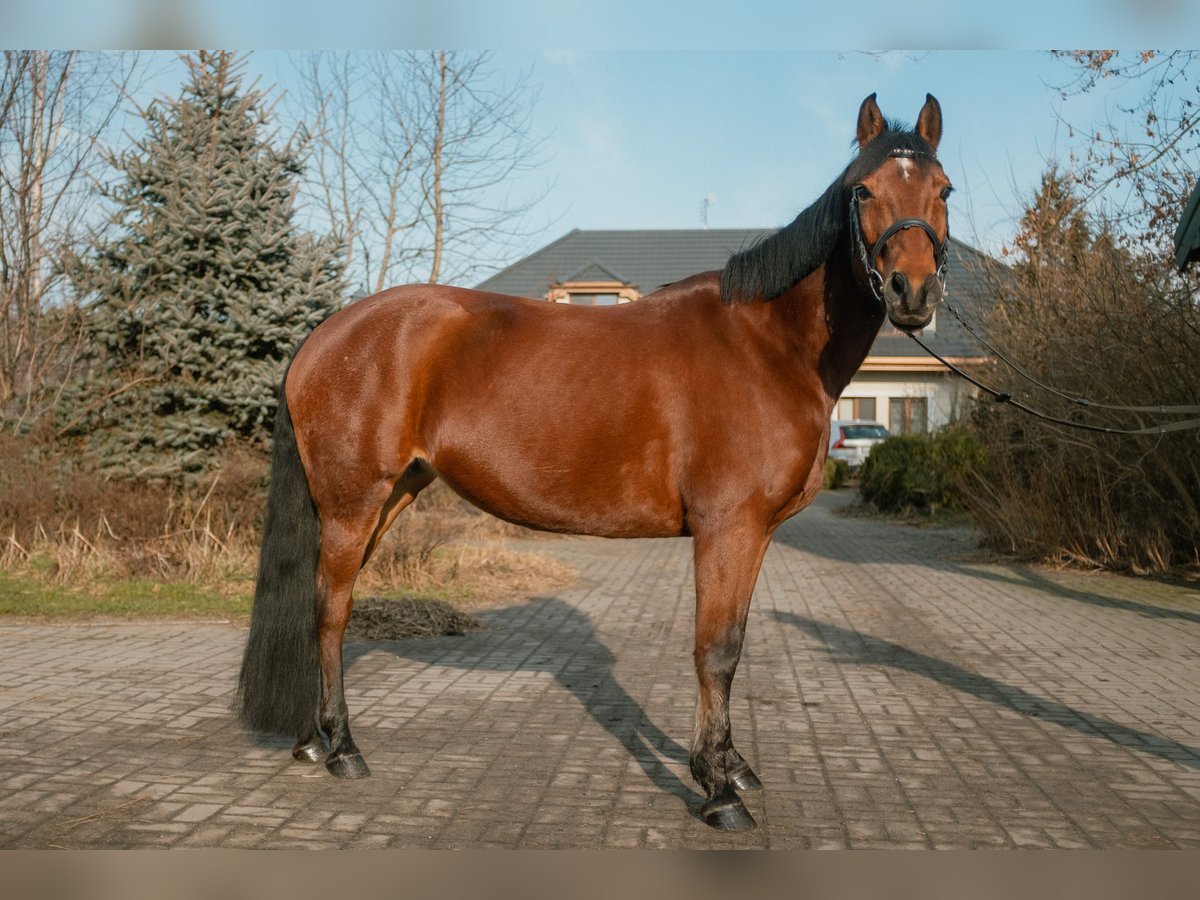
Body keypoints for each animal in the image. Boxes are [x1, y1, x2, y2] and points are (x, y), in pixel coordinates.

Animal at [238, 91, 950, 830]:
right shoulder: (727, 527)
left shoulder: (754, 534)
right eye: (863, 190)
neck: (767, 345)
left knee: (321, 606)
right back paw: (343, 748)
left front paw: (732, 766)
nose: (914, 293)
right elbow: (716, 651)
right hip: (354, 503)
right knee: (330, 613)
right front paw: (717, 788)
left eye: (943, 189)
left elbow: (735, 641)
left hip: (389, 494)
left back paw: (312, 741)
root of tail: (322, 336)